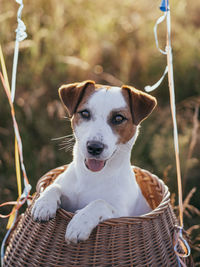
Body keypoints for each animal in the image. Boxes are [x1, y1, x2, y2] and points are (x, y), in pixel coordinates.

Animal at [31, 80, 157, 245]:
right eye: (85, 113)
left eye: (118, 118)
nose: (94, 147)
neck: (91, 176)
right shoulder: (66, 198)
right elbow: (54, 186)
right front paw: (43, 203)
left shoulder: (122, 214)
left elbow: (99, 202)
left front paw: (79, 223)